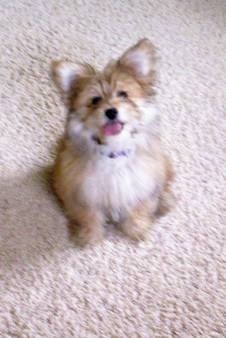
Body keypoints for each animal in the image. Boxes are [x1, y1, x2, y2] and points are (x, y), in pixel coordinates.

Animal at [52, 39, 173, 246]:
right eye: (95, 100)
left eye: (123, 94)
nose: (111, 111)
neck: (115, 150)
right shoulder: (84, 191)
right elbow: (88, 215)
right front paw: (90, 236)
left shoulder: (142, 183)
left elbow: (140, 208)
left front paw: (137, 229)